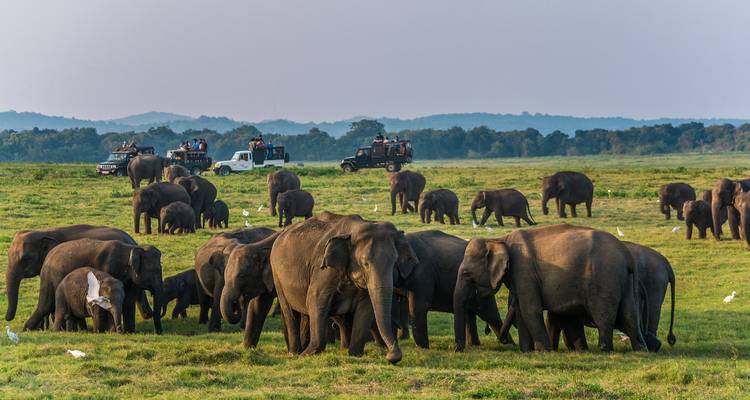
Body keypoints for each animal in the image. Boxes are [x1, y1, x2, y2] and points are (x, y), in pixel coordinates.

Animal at [23, 239, 163, 334]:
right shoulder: (108, 269)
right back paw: (27, 329)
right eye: (155, 271)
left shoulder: (131, 280)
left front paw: (129, 332)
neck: (131, 249)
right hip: (50, 278)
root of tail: (48, 257)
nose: (158, 333)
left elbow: (128, 302)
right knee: (45, 306)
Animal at [269, 211, 418, 364]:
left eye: (394, 262)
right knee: (289, 311)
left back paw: (339, 349)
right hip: (276, 273)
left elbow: (366, 307)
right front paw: (307, 354)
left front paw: (355, 354)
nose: (391, 356)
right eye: (365, 263)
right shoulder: (323, 270)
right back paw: (294, 353)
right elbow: (316, 299)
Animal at [454, 224, 646, 353]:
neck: (501, 239)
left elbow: (530, 309)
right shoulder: (520, 276)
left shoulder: (524, 270)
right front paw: (528, 351)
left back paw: (604, 350)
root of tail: (626, 255)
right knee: (629, 315)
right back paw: (639, 349)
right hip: (624, 281)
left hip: (604, 278)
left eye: (466, 273)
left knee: (603, 316)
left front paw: (544, 351)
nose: (458, 349)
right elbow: (522, 310)